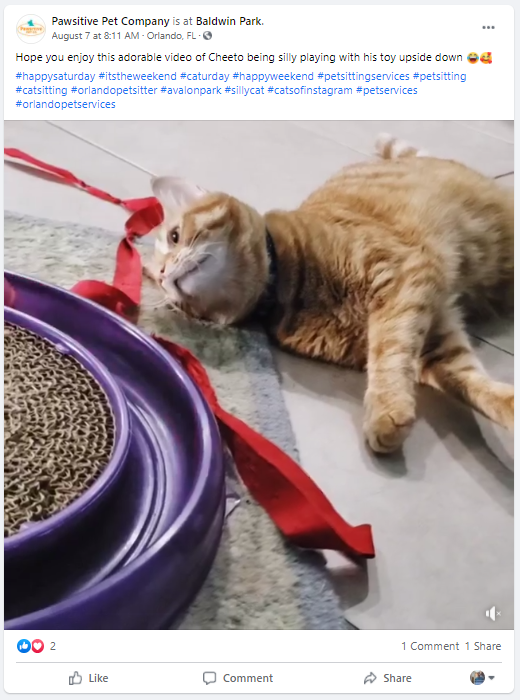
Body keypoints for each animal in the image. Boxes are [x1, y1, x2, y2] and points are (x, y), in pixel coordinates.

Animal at [148, 137, 512, 454]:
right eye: (166, 290)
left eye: (175, 236)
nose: (164, 274)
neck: (282, 289)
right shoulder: (434, 339)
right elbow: (470, 383)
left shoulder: (401, 279)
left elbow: (388, 352)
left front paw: (385, 409)